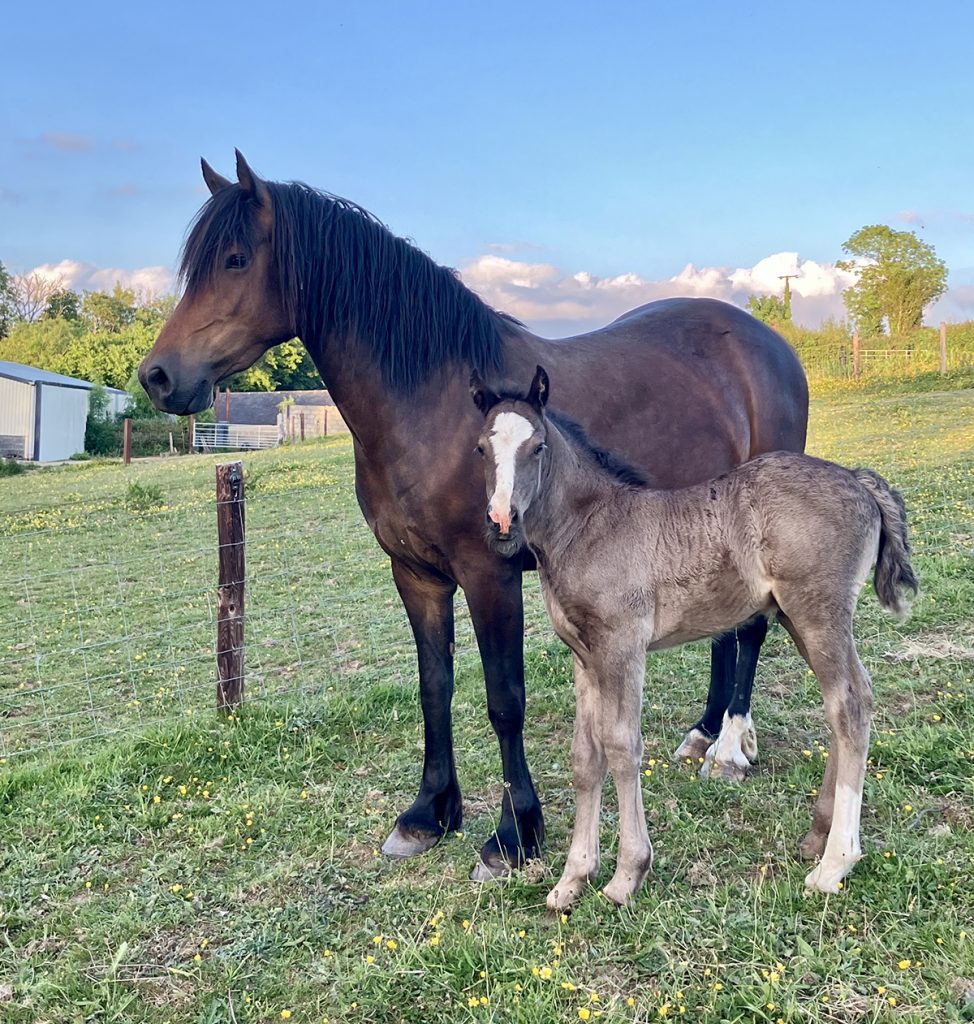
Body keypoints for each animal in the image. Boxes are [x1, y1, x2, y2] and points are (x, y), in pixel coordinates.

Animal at [138, 151, 809, 880]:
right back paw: (704, 732)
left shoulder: (491, 574)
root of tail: (769, 341)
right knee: (726, 628)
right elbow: (435, 688)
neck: (434, 404)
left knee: (751, 631)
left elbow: (504, 699)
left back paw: (730, 749)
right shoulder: (415, 574)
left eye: (234, 259)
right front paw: (428, 814)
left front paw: (514, 834)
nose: (157, 377)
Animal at [471, 366, 917, 905]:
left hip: (819, 612)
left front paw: (626, 875)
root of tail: (857, 478)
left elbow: (621, 747)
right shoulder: (584, 654)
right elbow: (585, 756)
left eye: (536, 446)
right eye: (480, 448)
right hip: (799, 618)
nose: (501, 520)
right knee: (850, 701)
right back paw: (817, 836)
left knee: (848, 705)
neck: (589, 525)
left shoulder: (622, 647)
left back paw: (835, 863)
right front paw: (572, 880)